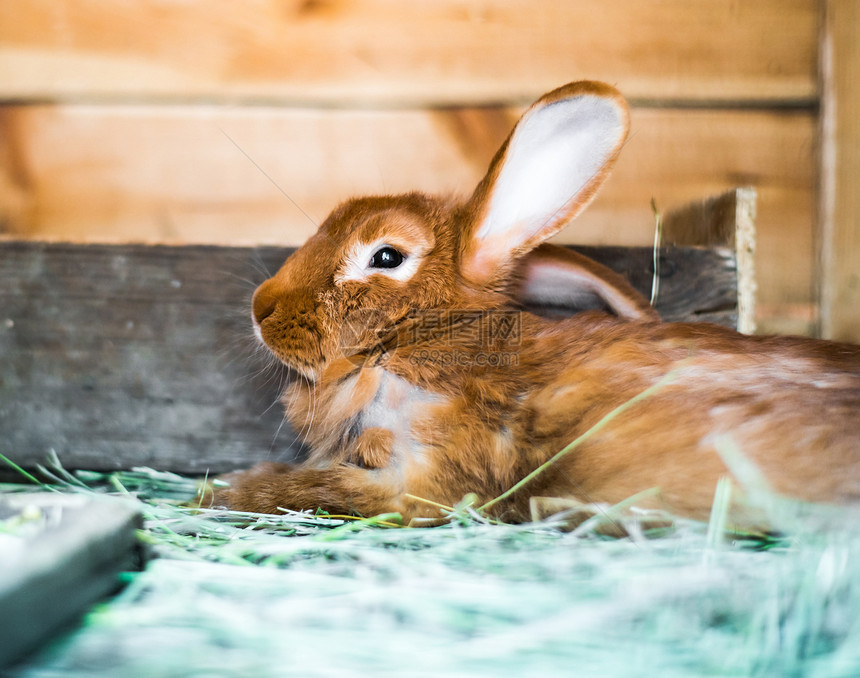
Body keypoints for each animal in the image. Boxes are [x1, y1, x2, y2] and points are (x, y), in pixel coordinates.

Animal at [210, 78, 860, 524]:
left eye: (387, 256)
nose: (261, 308)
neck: (418, 335)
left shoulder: (420, 475)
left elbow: (310, 489)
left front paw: (223, 491)